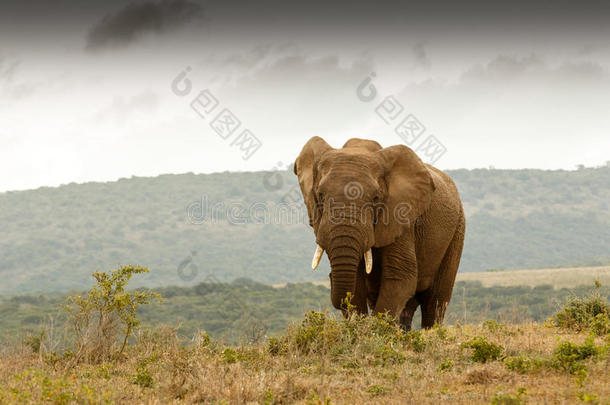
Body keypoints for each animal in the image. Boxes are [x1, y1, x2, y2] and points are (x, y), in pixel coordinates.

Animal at [292, 137, 464, 330]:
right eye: (320, 195)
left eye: (376, 198)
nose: (330, 278)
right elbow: (357, 280)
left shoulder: (401, 215)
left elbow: (400, 275)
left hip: (457, 230)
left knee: (435, 302)